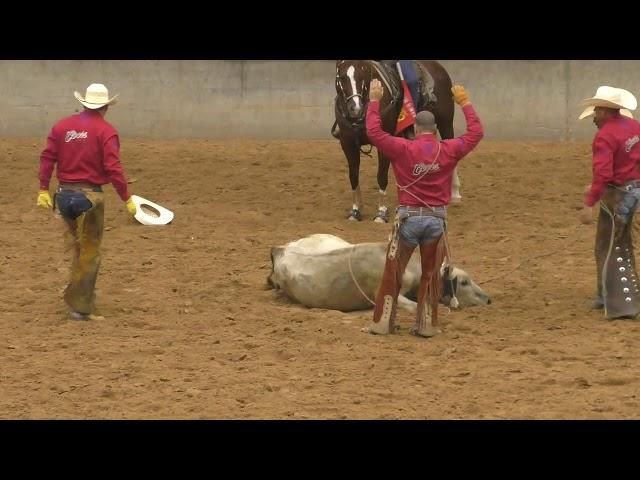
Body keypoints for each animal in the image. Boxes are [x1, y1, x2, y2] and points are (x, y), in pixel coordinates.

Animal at [336, 60, 460, 223]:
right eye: (342, 77)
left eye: (363, 75)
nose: (355, 108)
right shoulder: (348, 144)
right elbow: (353, 176)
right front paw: (355, 211)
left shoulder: (384, 142)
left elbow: (381, 176)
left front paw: (381, 213)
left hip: (445, 122)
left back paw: (455, 194)